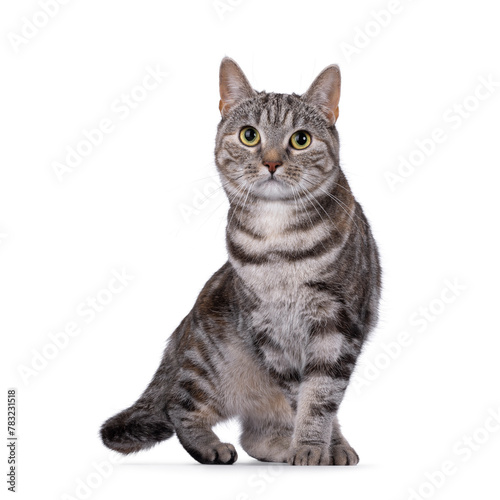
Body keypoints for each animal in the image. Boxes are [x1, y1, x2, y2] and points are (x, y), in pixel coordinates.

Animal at [101, 57, 382, 464]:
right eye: (250, 135)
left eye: (301, 139)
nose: (271, 163)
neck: (278, 243)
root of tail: (180, 336)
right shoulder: (268, 332)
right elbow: (303, 397)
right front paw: (313, 447)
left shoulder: (337, 324)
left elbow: (320, 398)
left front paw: (314, 446)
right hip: (213, 365)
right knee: (179, 407)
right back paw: (211, 447)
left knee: (254, 435)